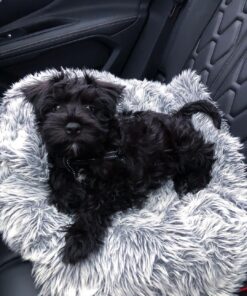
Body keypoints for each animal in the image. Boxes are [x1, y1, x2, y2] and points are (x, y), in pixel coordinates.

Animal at [23, 71, 222, 264]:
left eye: (91, 108)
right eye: (56, 107)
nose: (72, 127)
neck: (84, 157)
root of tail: (178, 116)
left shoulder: (122, 187)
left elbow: (94, 205)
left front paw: (79, 240)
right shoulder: (61, 163)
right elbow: (59, 178)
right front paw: (69, 196)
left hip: (184, 147)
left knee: (205, 154)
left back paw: (192, 181)